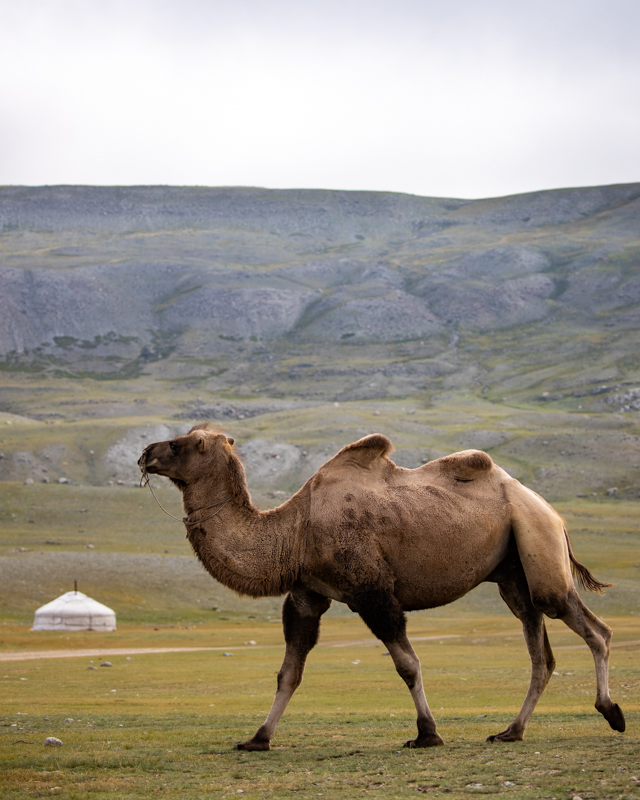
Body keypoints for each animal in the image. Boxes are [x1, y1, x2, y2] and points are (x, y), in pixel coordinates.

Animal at [138, 424, 624, 752]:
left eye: (182, 444)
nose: (145, 453)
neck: (294, 531)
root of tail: (551, 510)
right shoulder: (306, 595)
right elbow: (289, 673)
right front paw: (258, 738)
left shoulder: (372, 591)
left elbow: (407, 664)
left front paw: (427, 734)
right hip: (512, 573)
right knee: (540, 648)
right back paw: (511, 731)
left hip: (537, 543)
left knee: (589, 627)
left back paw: (611, 712)